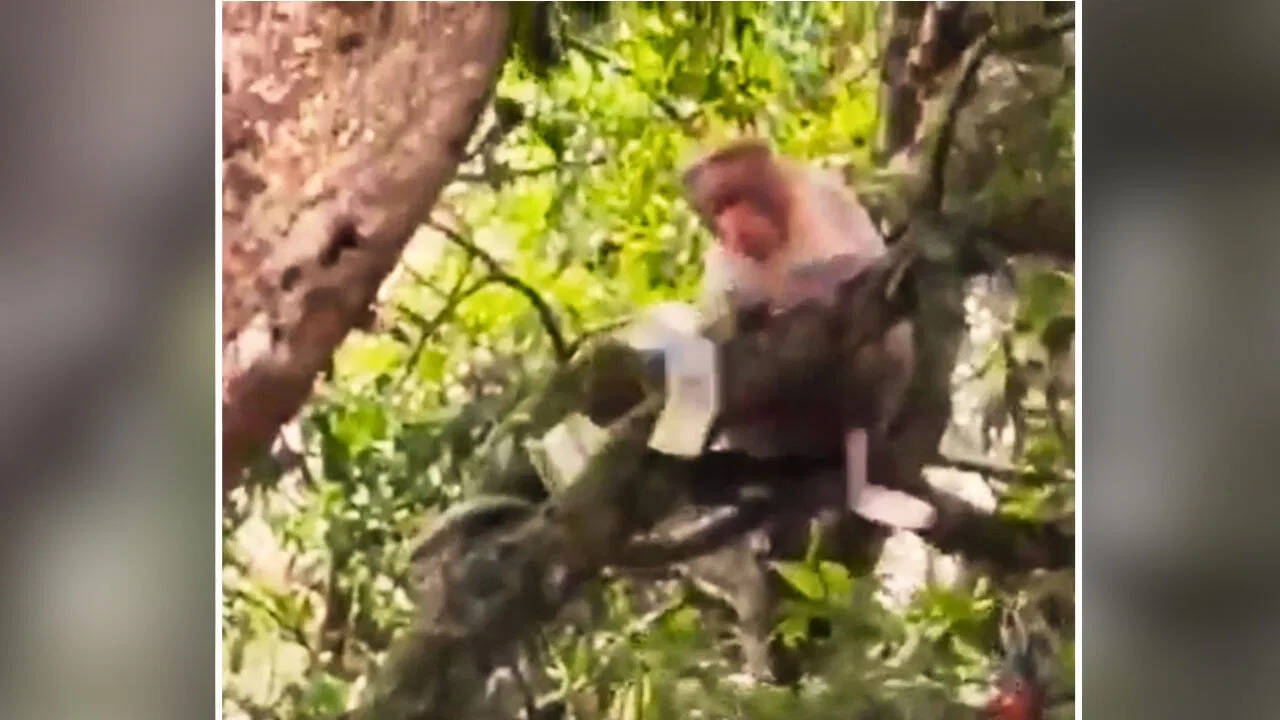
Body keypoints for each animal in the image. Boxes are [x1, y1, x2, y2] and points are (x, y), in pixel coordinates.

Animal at [682, 140, 934, 531]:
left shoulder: (823, 197)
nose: (730, 222)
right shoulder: (725, 255)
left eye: (738, 195)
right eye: (719, 207)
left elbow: (857, 266)